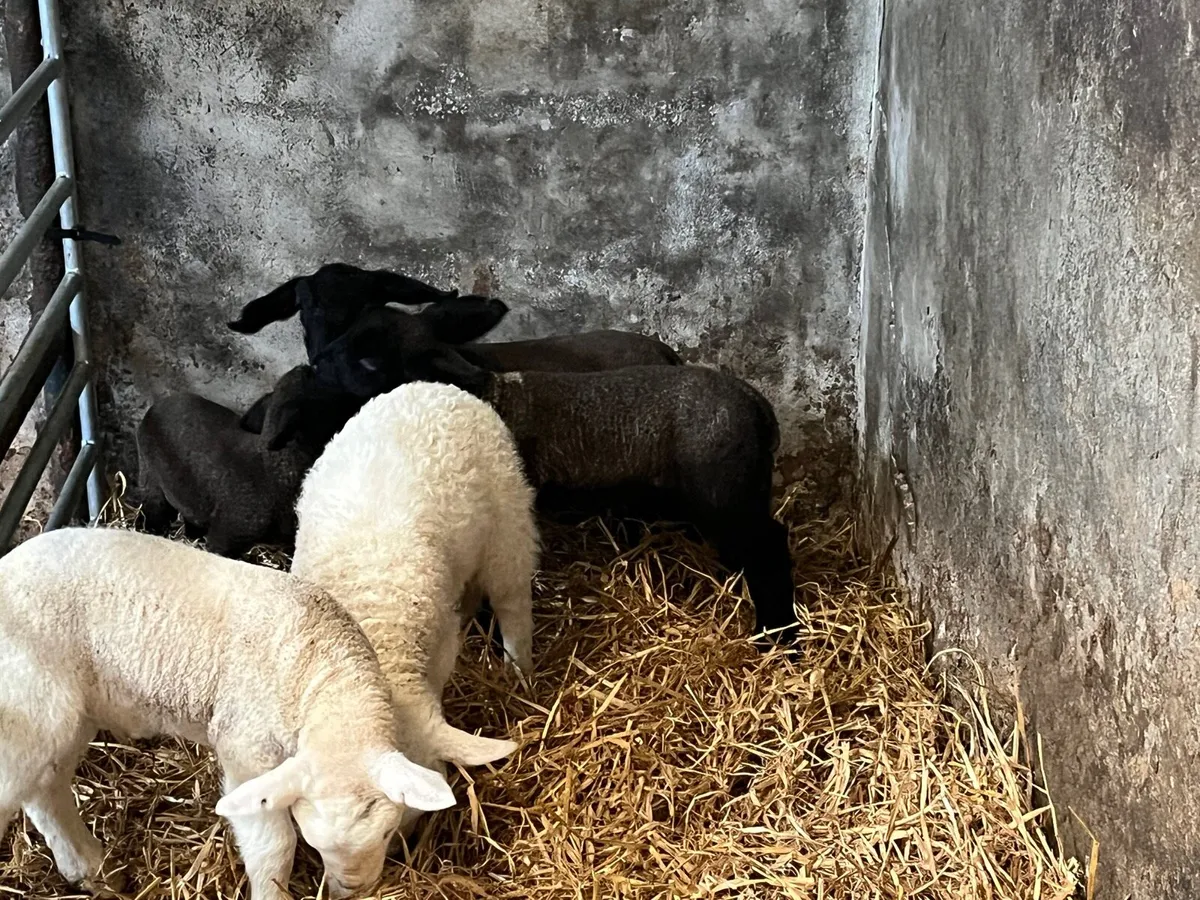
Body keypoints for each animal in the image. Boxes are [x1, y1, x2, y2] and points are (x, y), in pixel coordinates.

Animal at [0, 526, 475, 900]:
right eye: (314, 843)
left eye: (388, 832)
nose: (351, 891)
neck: (315, 667)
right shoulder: (247, 749)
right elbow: (274, 846)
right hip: (27, 715)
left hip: (65, 718)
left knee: (46, 789)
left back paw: (93, 870)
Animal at [134, 365, 365, 557]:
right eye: (326, 396)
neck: (271, 468)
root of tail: (158, 404)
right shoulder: (225, 538)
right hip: (150, 475)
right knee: (153, 511)